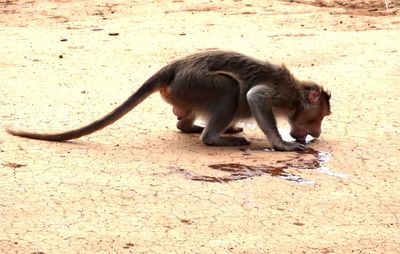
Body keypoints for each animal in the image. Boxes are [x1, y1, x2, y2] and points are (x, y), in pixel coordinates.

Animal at [5, 50, 332, 152]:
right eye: (320, 116)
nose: (316, 133)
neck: (297, 95)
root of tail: (172, 68)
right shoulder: (284, 94)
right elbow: (255, 95)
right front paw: (282, 144)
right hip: (195, 83)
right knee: (230, 89)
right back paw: (213, 138)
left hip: (184, 91)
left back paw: (189, 126)